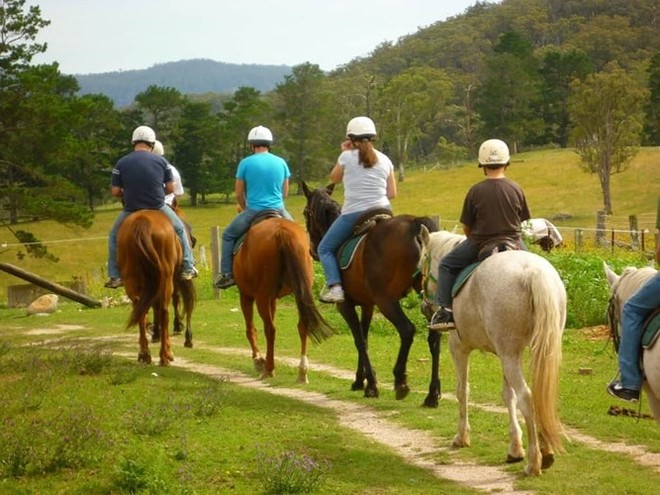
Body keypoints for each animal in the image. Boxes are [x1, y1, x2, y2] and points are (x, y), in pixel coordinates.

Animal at [117, 207, 182, 366]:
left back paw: (144, 354)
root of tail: (143, 220)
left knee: (140, 311)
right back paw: (165, 355)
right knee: (164, 311)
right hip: (166, 280)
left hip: (132, 281)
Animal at [232, 215, 336, 382]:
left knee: (270, 329)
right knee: (303, 324)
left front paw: (258, 360)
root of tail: (282, 231)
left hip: (261, 296)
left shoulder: (246, 295)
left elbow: (250, 329)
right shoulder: (273, 298)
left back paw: (268, 369)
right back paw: (302, 371)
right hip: (301, 291)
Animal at [300, 181, 436, 400]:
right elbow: (364, 338)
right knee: (434, 336)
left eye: (305, 212)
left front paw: (371, 384)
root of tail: (414, 224)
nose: (312, 250)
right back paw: (432, 394)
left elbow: (359, 340)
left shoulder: (345, 305)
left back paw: (401, 381)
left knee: (407, 330)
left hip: (386, 299)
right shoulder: (367, 305)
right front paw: (359, 380)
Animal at [422, 232, 568, 476]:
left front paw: (461, 436)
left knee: (527, 397)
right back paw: (545, 451)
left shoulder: (459, 349)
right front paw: (515, 448)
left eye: (422, 259)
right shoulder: (505, 354)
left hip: (509, 356)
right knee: (540, 394)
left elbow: (463, 391)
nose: (424, 306)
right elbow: (508, 396)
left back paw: (534, 462)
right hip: (530, 352)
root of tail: (531, 271)